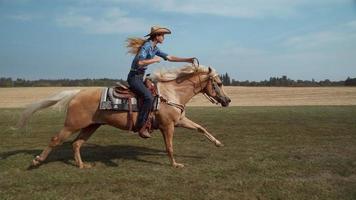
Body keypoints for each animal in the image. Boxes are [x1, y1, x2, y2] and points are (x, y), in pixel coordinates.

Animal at [17, 65, 231, 168]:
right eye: (219, 83)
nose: (227, 100)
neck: (171, 94)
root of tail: (77, 93)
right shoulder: (167, 126)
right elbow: (169, 147)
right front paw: (176, 164)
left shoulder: (179, 121)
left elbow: (201, 128)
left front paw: (218, 143)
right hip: (72, 125)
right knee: (55, 140)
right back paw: (37, 161)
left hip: (91, 126)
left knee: (76, 144)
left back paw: (82, 165)